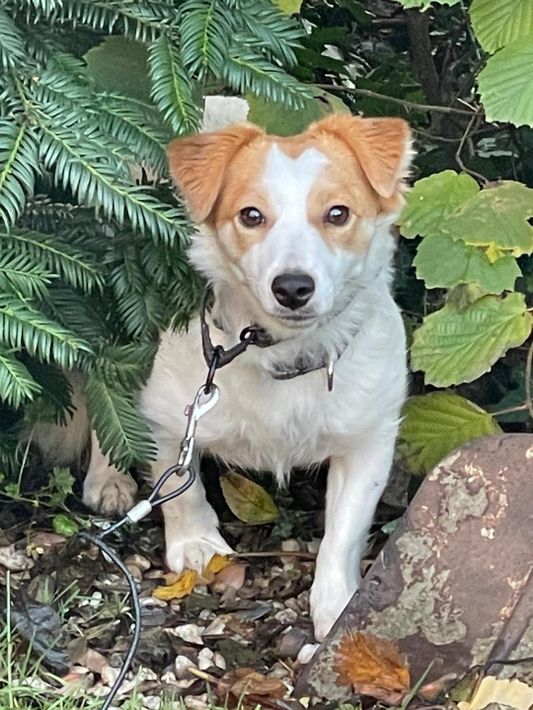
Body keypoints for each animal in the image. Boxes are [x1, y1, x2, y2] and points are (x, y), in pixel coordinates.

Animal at [80, 113, 412, 641]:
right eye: (251, 216)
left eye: (337, 213)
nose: (293, 287)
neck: (279, 357)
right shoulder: (169, 417)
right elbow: (182, 488)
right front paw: (196, 543)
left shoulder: (368, 442)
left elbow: (342, 534)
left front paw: (337, 604)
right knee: (98, 389)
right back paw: (107, 477)